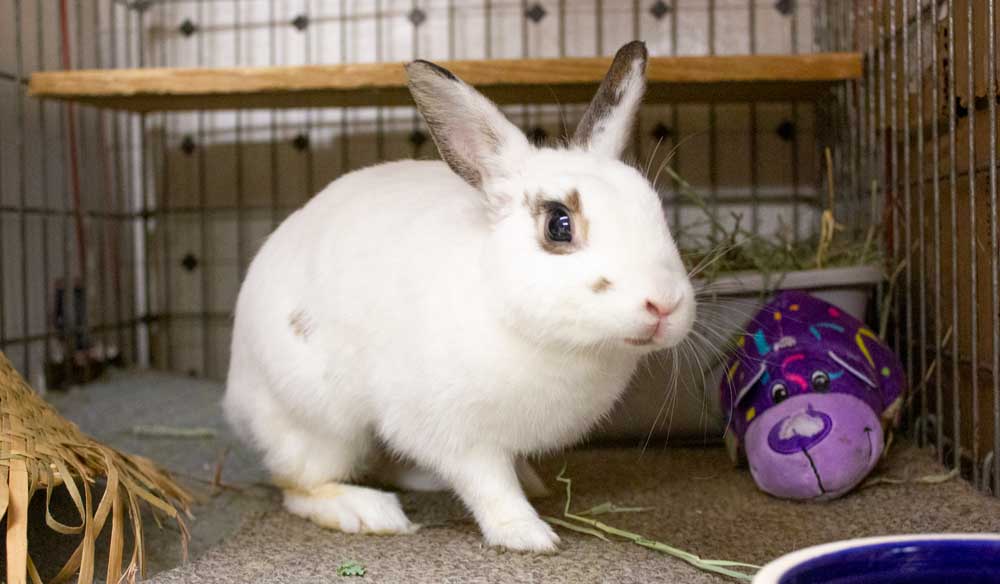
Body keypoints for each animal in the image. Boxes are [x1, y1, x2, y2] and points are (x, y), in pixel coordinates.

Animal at [226, 41, 696, 552]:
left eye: (656, 210)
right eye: (559, 224)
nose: (664, 304)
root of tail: (236, 391)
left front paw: (532, 485)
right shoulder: (457, 435)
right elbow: (490, 485)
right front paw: (528, 534)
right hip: (320, 423)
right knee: (298, 485)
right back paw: (366, 511)